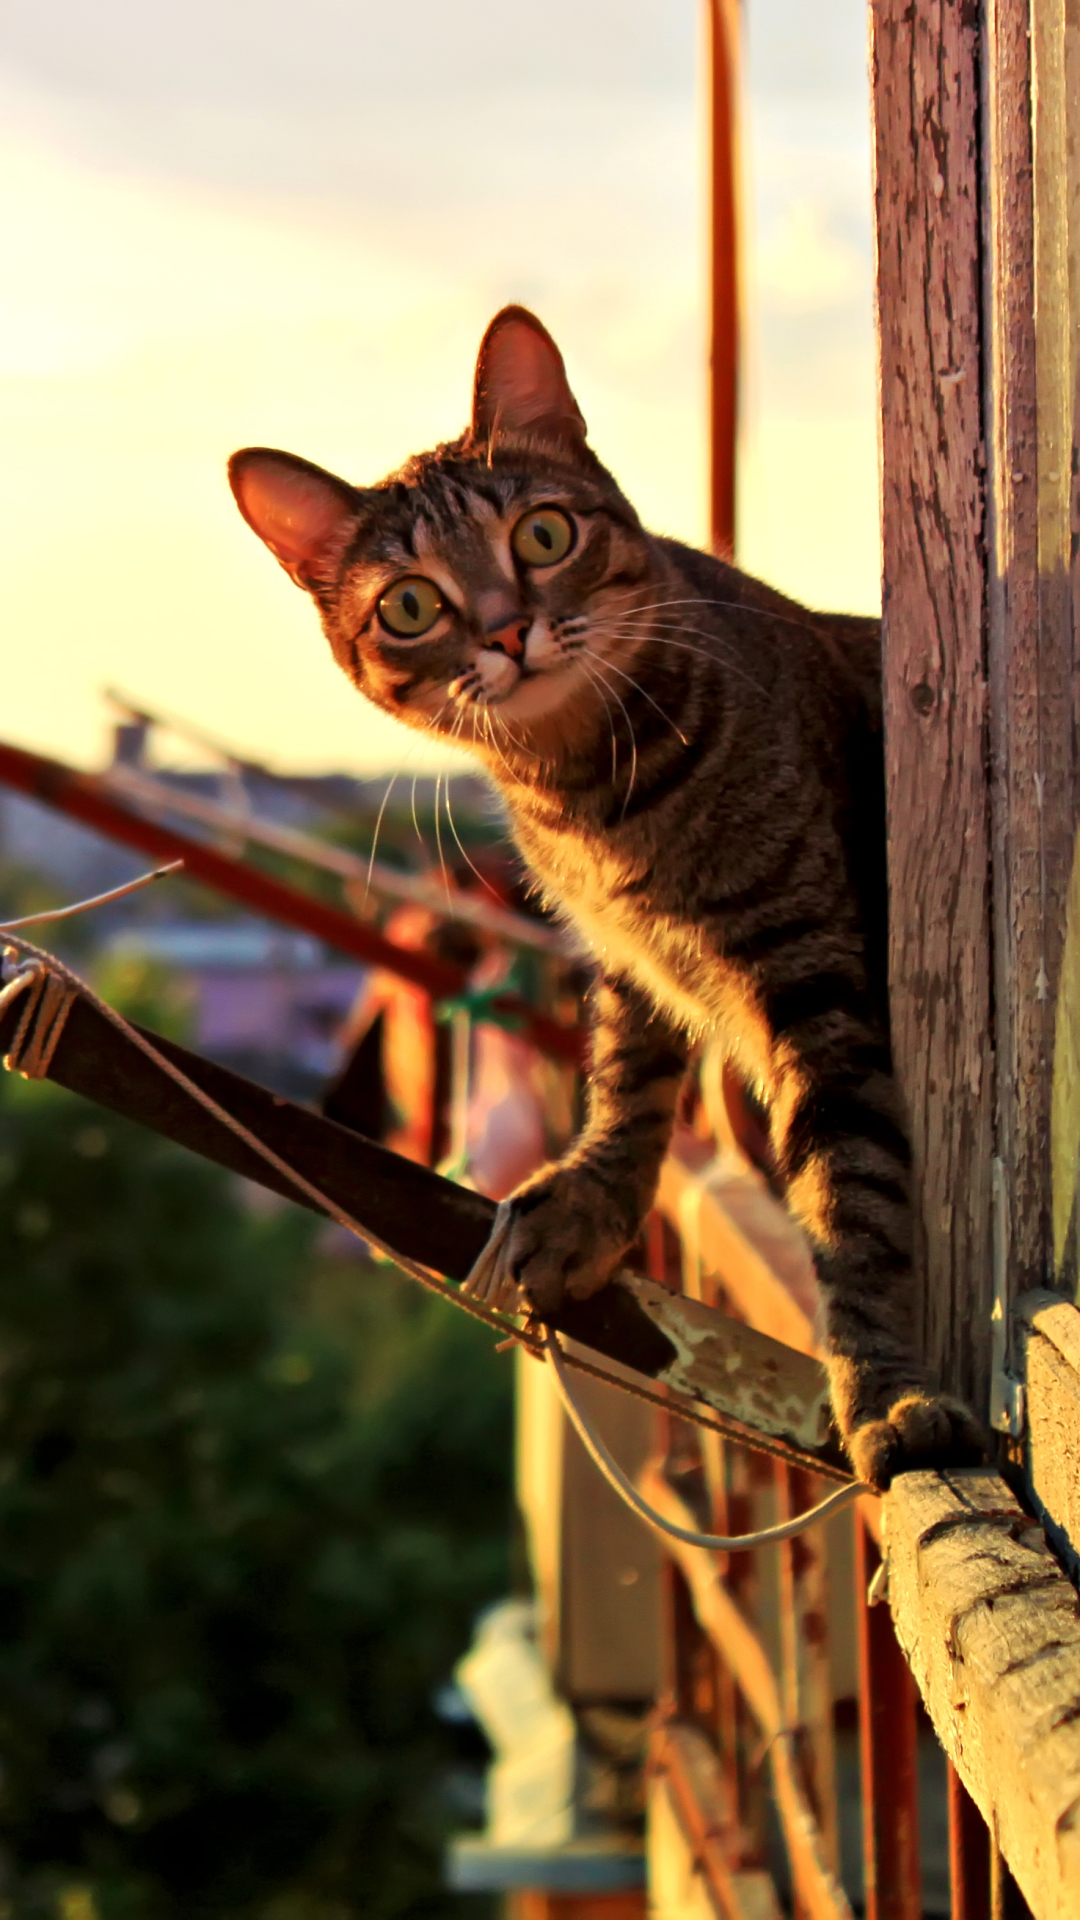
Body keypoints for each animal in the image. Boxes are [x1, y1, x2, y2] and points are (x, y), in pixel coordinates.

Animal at [226, 307, 983, 1489]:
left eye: (541, 536)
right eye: (410, 605)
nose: (505, 631)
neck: (589, 793)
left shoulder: (816, 975)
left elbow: (850, 1199)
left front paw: (884, 1393)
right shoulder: (628, 961)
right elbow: (626, 1087)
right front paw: (590, 1200)